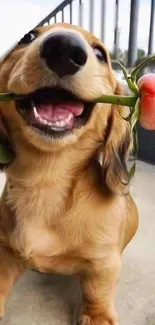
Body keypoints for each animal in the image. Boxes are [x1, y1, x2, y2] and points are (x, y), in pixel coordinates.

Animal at [0, 23, 139, 324]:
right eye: (28, 37)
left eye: (100, 53)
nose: (64, 49)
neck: (45, 179)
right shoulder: (6, 249)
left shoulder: (105, 262)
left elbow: (97, 289)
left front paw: (97, 316)